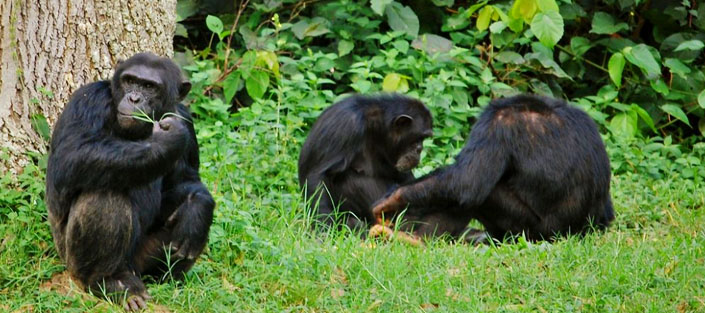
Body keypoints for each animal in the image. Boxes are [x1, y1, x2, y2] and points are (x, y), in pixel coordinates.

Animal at [46, 52, 214, 308]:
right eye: (130, 81)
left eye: (149, 87)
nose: (134, 98)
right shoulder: (88, 100)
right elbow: (71, 155)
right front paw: (166, 141)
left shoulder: (184, 117)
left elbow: (186, 179)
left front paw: (198, 209)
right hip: (71, 259)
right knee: (104, 194)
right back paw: (111, 281)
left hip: (142, 261)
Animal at [296, 94, 432, 233]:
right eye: (418, 138)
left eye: (424, 139)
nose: (419, 149)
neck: (378, 128)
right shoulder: (345, 125)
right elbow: (318, 176)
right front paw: (323, 228)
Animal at [372, 94, 612, 241]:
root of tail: (573, 233)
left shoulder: (496, 124)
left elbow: (466, 181)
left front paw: (392, 199)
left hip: (531, 231)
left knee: (478, 195)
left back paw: (412, 239)